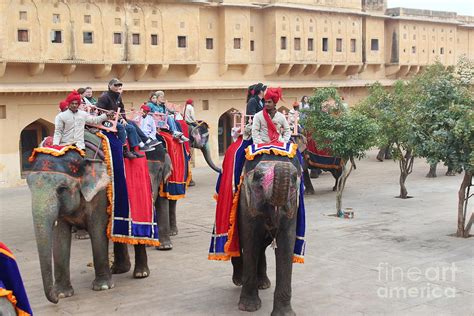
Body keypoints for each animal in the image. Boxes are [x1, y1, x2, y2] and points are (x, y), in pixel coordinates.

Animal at [231, 152, 304, 314]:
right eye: (257, 176)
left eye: (294, 177)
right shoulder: (245, 203)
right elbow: (250, 241)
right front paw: (248, 308)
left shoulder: (293, 208)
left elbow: (286, 244)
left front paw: (285, 314)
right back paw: (239, 281)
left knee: (261, 247)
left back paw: (263, 284)